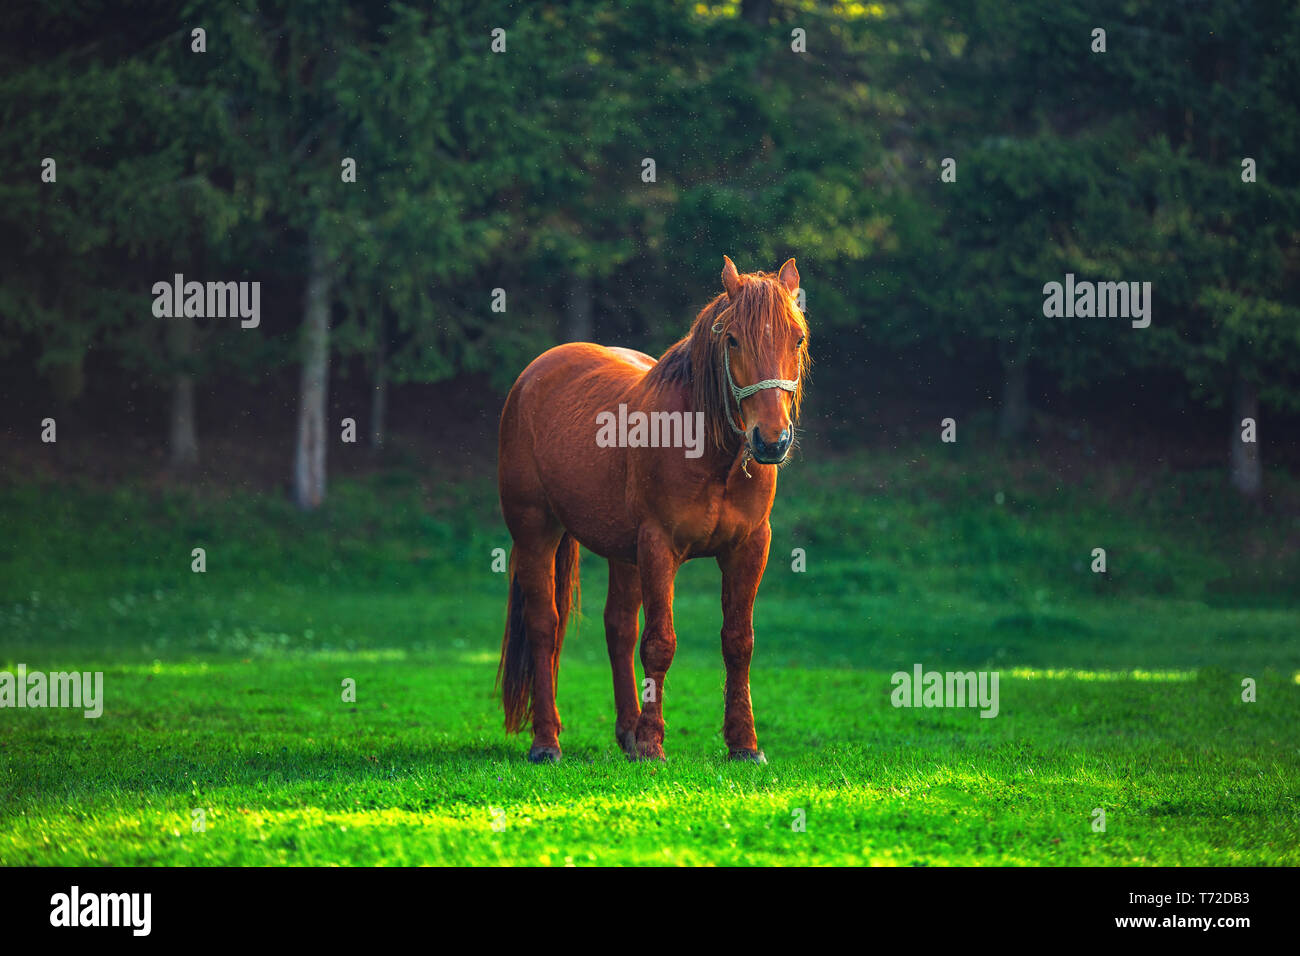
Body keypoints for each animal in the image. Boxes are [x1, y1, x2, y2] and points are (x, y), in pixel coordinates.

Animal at [496, 256, 809, 763]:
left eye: (796, 338)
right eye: (732, 339)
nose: (771, 440)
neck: (711, 455)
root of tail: (536, 373)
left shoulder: (748, 548)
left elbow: (738, 642)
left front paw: (744, 744)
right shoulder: (659, 546)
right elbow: (660, 643)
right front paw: (651, 745)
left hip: (623, 554)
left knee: (619, 628)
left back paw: (625, 731)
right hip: (535, 533)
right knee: (545, 625)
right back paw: (547, 742)